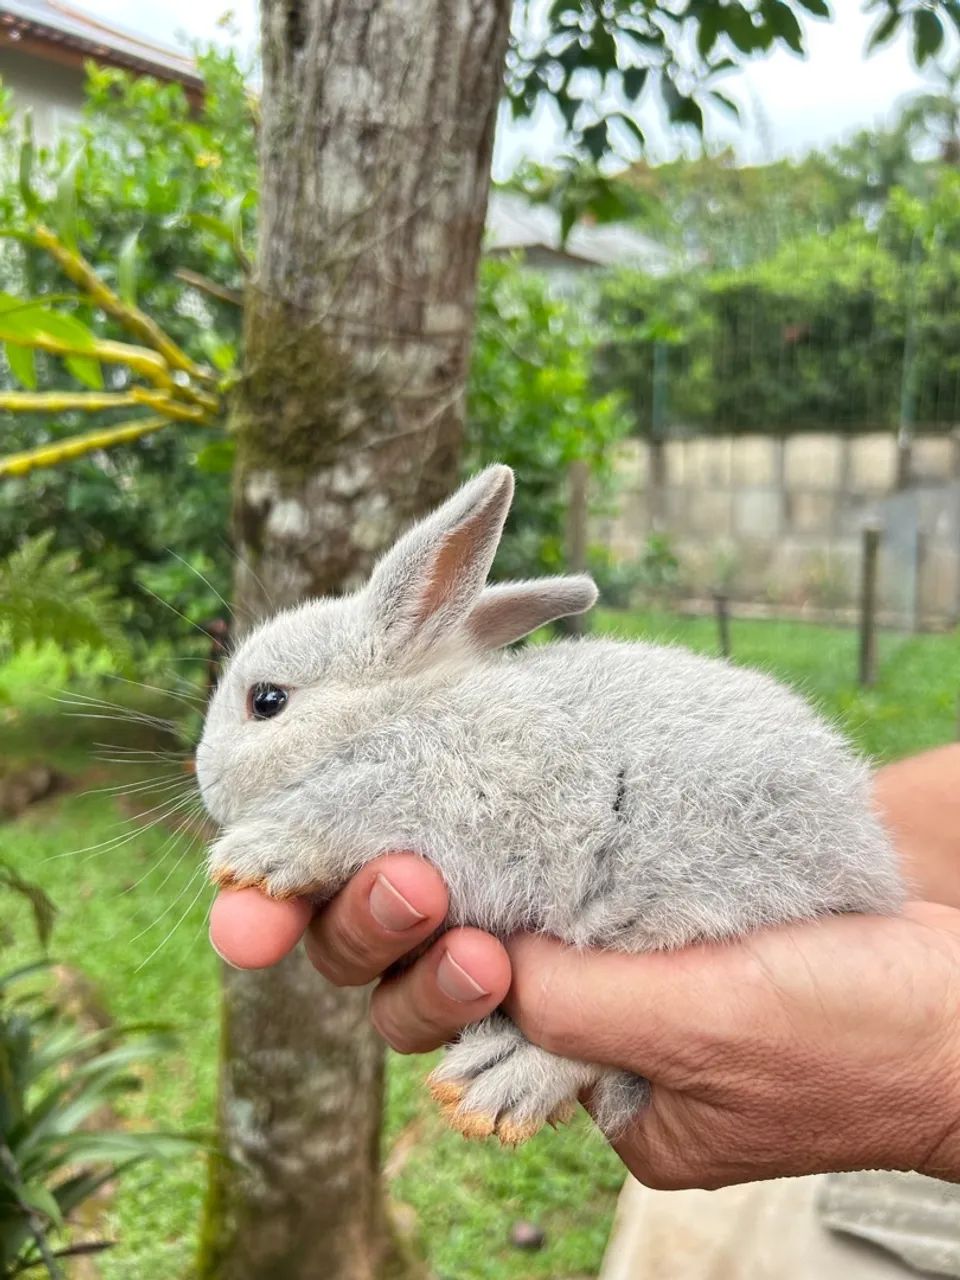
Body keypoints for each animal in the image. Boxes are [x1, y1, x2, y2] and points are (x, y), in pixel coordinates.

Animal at [196, 464, 905, 1147]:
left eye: (266, 700)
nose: (203, 776)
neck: (401, 714)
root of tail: (872, 868)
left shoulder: (451, 803)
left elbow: (352, 812)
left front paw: (259, 854)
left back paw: (503, 1080)